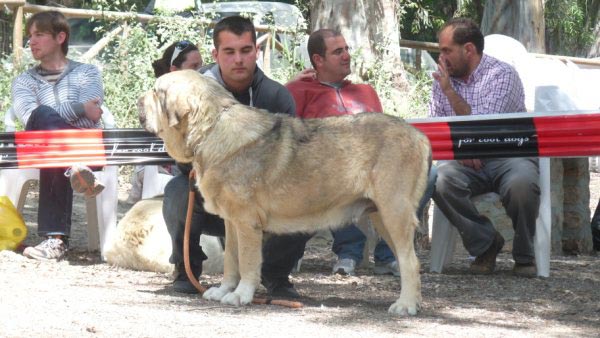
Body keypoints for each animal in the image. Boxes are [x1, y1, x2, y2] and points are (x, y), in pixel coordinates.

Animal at [138, 70, 432, 316]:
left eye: (155, 91)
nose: (139, 102)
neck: (212, 129)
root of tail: (419, 136)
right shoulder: (232, 223)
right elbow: (231, 261)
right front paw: (224, 290)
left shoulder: (246, 223)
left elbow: (247, 262)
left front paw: (241, 295)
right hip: (382, 219)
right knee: (410, 262)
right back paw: (414, 302)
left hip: (393, 214)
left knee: (408, 261)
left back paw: (405, 305)